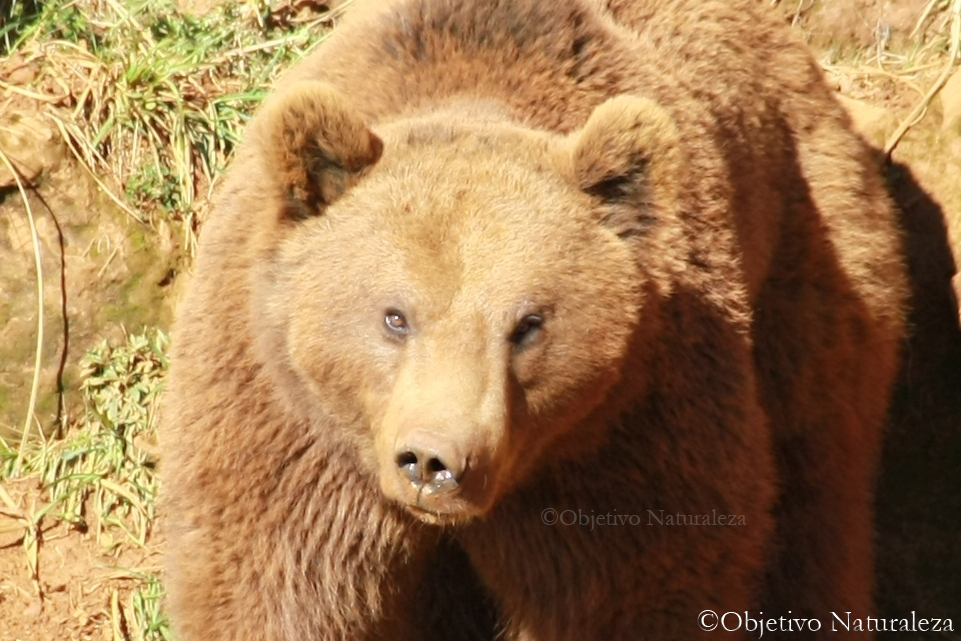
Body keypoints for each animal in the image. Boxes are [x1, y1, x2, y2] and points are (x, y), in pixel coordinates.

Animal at [163, 1, 908, 640]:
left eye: (527, 324)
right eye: (394, 316)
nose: (435, 460)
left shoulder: (621, 433)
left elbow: (639, 584)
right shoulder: (287, 428)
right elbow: (268, 585)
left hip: (808, 256)